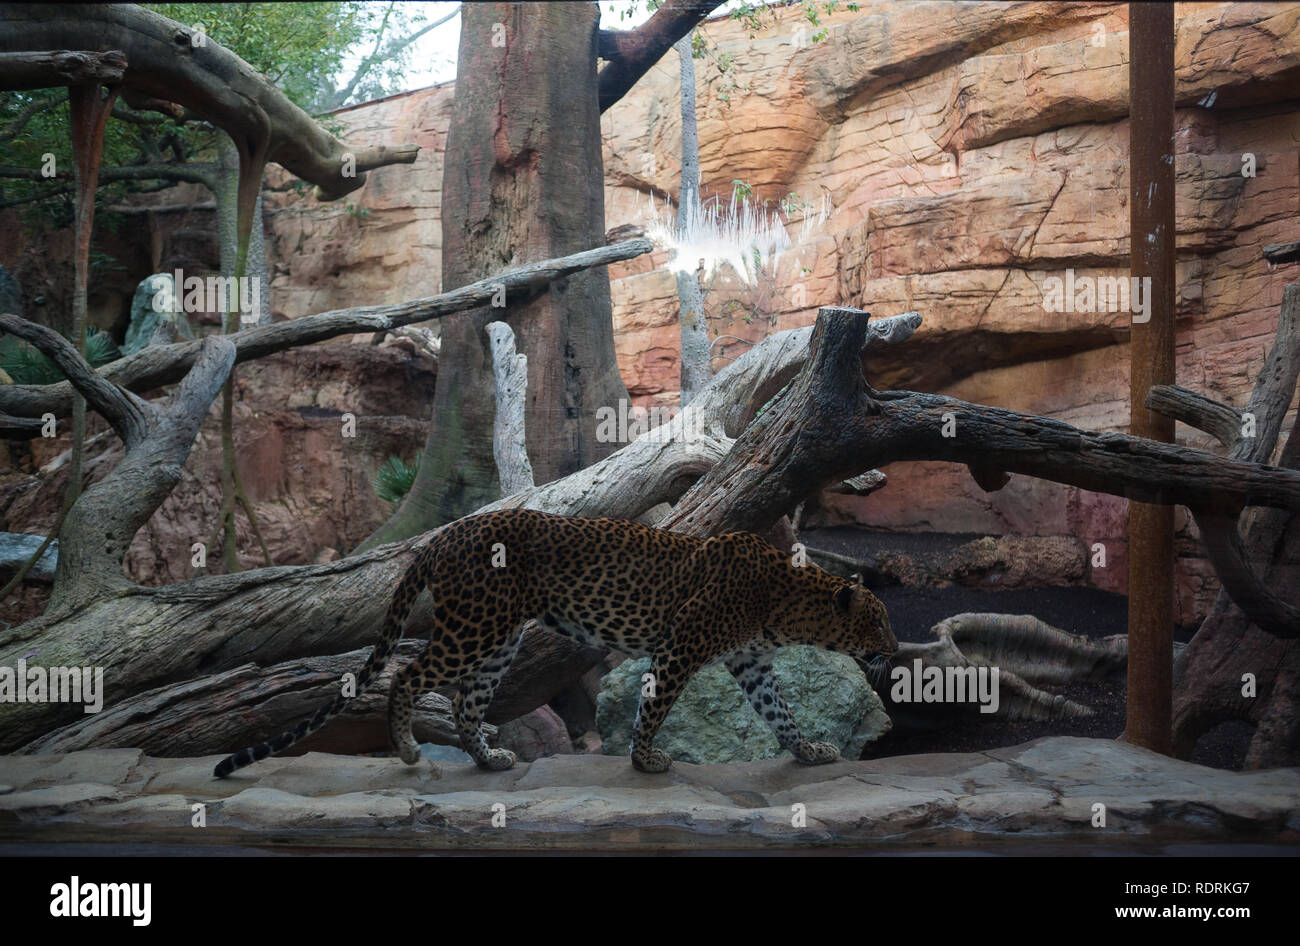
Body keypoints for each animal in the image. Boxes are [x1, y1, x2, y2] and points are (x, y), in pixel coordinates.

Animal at [215, 506, 904, 779]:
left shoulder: (751, 663)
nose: (896, 651)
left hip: (497, 639)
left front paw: (809, 750)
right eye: (878, 623)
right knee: (411, 675)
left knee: (465, 701)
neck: (785, 602)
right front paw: (645, 760)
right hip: (475, 630)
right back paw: (408, 749)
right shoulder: (681, 648)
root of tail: (442, 535)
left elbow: (779, 712)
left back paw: (488, 760)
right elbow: (654, 706)